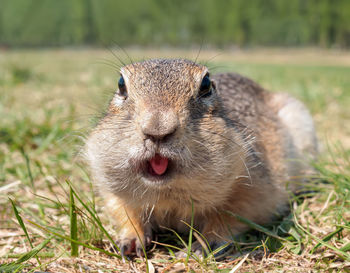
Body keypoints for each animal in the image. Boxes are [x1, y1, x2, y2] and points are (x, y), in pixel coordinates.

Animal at [85, 58, 318, 256]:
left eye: (206, 85)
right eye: (121, 84)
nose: (157, 129)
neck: (166, 193)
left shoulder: (254, 185)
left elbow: (233, 214)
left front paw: (203, 245)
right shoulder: (109, 184)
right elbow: (123, 209)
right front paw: (130, 241)